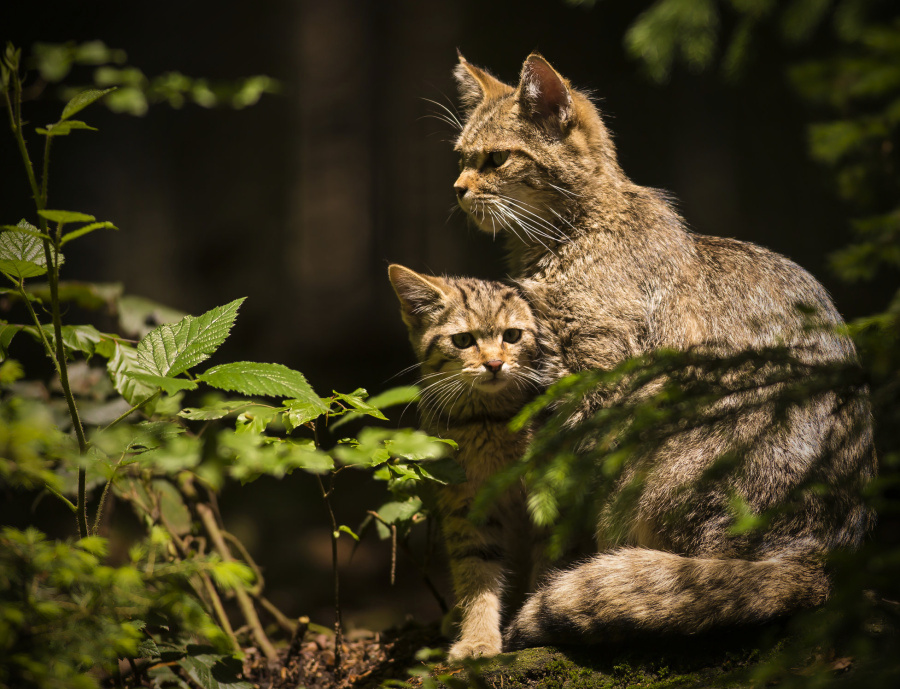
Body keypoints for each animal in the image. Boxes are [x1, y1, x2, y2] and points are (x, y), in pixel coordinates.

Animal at [386, 264, 540, 656]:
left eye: (512, 336)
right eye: (463, 341)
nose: (495, 363)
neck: (488, 421)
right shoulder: (465, 501)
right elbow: (475, 570)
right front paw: (478, 636)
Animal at [448, 55, 872, 652]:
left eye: (496, 159)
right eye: (462, 158)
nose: (458, 188)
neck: (565, 242)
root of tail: (823, 565)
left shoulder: (595, 384)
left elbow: (564, 503)